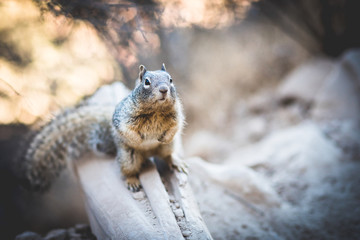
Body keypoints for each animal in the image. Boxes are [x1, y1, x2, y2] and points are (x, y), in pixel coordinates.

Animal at [17, 63, 186, 191]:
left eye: (171, 79)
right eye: (146, 82)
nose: (164, 90)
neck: (156, 111)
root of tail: (149, 153)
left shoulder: (176, 114)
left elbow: (176, 126)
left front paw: (165, 137)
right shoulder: (123, 117)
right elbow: (126, 130)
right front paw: (138, 140)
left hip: (168, 147)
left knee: (167, 155)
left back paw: (176, 162)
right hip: (128, 157)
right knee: (127, 170)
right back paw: (132, 181)